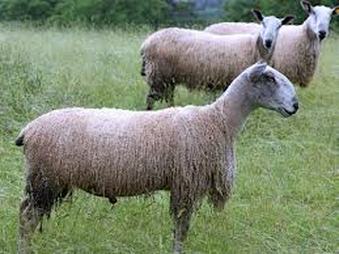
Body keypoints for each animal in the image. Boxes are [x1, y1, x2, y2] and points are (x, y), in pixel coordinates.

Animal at [15, 62, 298, 254]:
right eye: (270, 78)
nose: (295, 106)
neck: (219, 120)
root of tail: (28, 130)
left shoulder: (184, 183)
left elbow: (180, 227)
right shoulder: (186, 183)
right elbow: (181, 228)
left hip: (50, 180)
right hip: (45, 179)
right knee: (27, 218)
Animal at [141, 10, 294, 109]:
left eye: (279, 26)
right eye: (262, 23)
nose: (268, 41)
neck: (255, 47)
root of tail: (146, 43)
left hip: (167, 78)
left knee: (168, 98)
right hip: (159, 75)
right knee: (150, 99)